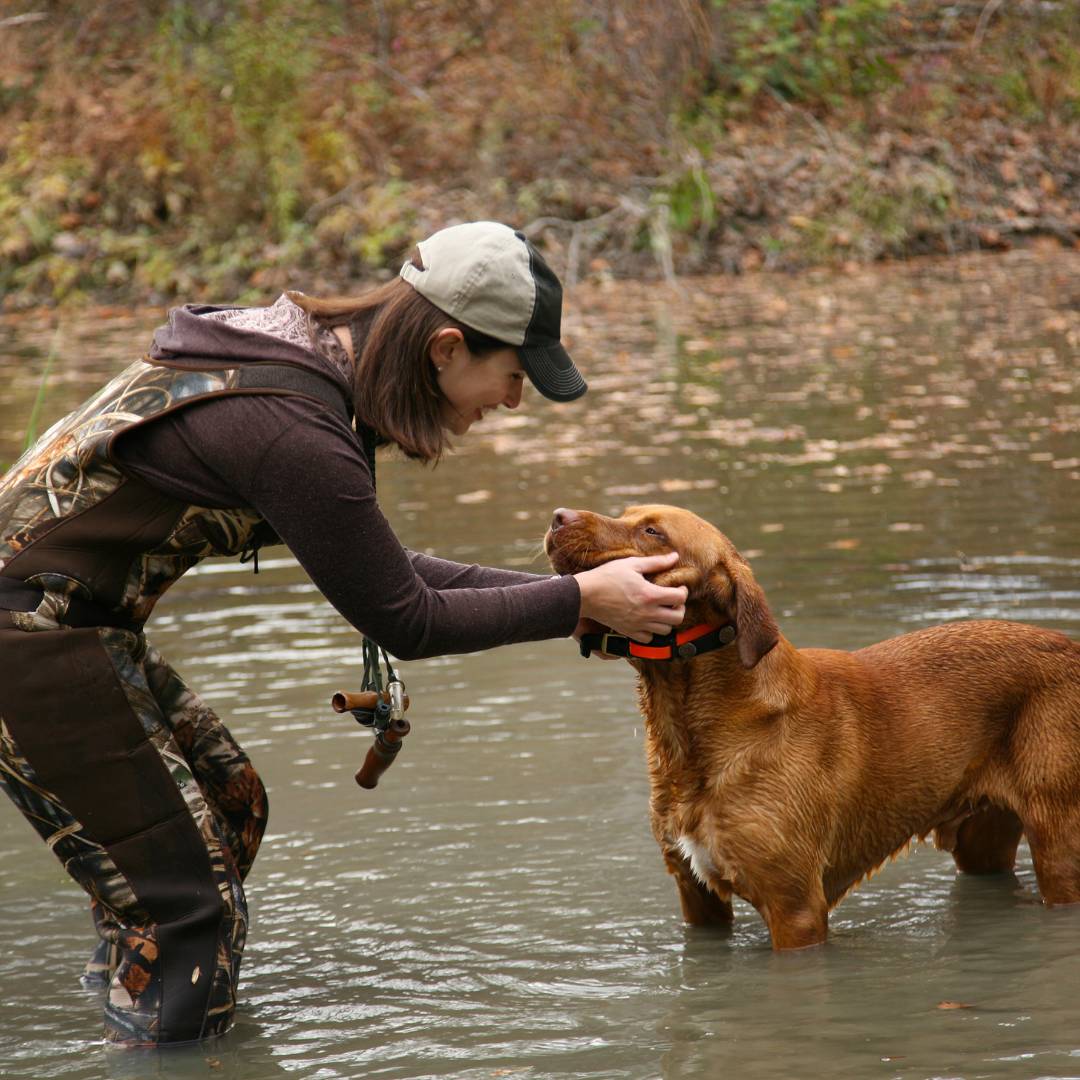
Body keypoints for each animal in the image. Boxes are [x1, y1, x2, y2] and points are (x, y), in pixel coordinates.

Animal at [544, 503, 1080, 946]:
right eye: (626, 513)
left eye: (652, 531)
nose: (557, 516)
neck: (689, 735)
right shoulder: (697, 896)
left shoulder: (795, 908)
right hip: (982, 841)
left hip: (1059, 846)